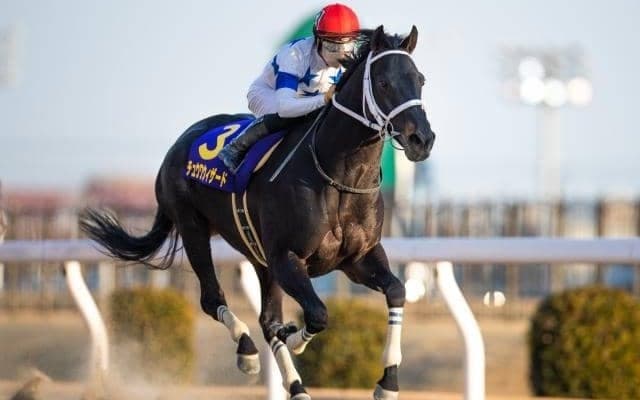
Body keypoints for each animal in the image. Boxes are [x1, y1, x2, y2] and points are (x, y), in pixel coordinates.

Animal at [80, 25, 435, 400]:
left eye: (420, 79)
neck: (339, 177)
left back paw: (296, 387)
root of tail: (178, 145)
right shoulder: (287, 258)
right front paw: (294, 340)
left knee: (266, 319)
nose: (422, 139)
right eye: (383, 83)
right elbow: (317, 314)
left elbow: (396, 291)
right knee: (214, 300)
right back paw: (248, 352)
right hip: (194, 228)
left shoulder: (357, 257)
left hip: (258, 255)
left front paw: (388, 382)